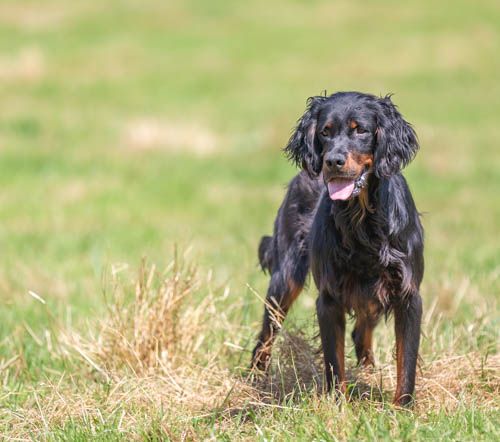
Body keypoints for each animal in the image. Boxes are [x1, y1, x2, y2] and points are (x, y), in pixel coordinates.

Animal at [252, 91, 424, 406]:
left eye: (361, 130)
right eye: (325, 132)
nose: (332, 161)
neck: (362, 218)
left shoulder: (408, 295)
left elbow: (406, 361)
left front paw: (402, 408)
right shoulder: (330, 298)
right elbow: (334, 362)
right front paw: (337, 404)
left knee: (362, 329)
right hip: (285, 279)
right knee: (266, 335)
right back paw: (254, 378)